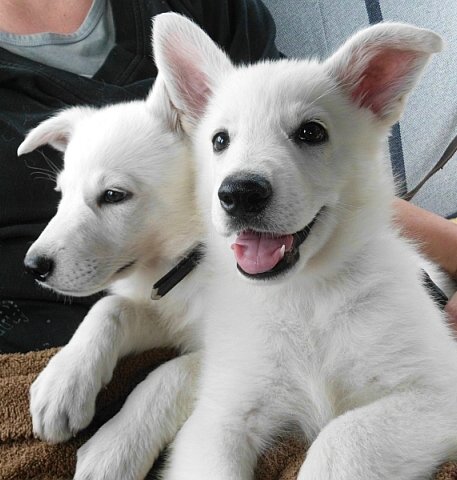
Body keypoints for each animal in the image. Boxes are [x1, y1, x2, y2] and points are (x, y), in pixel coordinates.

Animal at [17, 77, 203, 478]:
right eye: (61, 193)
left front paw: (116, 449)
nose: (33, 266)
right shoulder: (167, 307)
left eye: (114, 195)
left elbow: (170, 373)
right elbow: (111, 307)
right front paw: (64, 381)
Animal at [153, 13, 456, 478]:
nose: (239, 193)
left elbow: (341, 439)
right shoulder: (218, 416)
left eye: (312, 132)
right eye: (220, 140)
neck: (303, 297)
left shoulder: (434, 391)